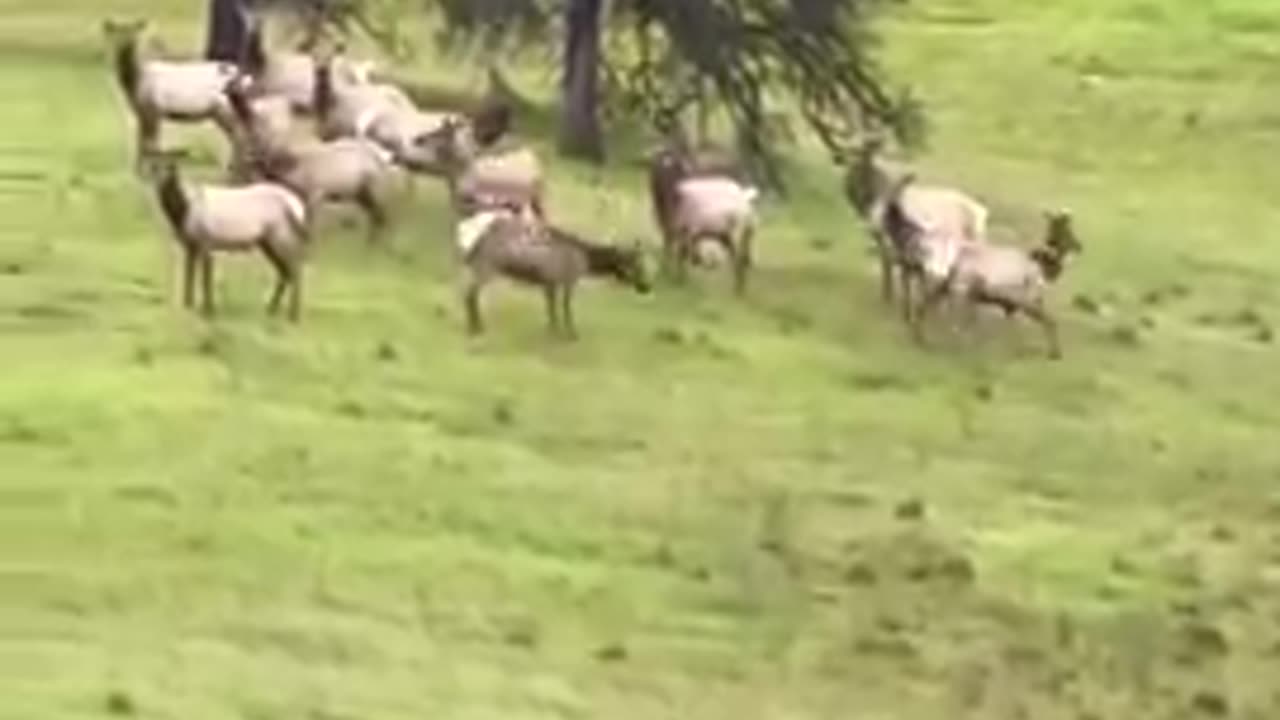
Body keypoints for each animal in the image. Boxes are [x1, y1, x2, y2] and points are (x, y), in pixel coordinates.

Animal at [144, 148, 309, 319]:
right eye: (154, 166)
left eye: (171, 167)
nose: (159, 182)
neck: (183, 212)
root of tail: (298, 208)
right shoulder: (190, 245)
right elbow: (189, 276)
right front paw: (188, 306)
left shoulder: (206, 242)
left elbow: (205, 279)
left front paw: (208, 310)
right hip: (266, 241)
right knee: (285, 271)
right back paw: (271, 310)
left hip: (281, 236)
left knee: (295, 269)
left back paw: (293, 316)